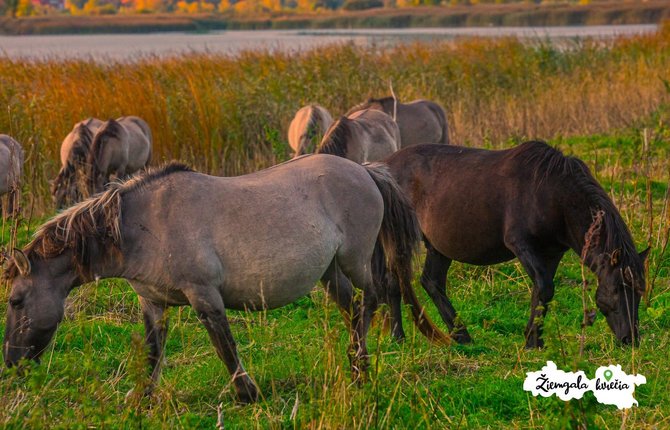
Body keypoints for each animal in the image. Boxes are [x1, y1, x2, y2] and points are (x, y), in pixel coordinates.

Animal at [3, 157, 452, 404]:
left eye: (15, 301)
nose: (11, 361)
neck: (143, 225)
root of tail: (364, 169)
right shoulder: (154, 303)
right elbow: (152, 352)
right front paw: (142, 397)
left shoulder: (205, 297)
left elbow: (225, 347)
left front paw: (246, 393)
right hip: (330, 272)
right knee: (353, 308)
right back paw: (357, 364)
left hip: (355, 259)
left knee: (373, 297)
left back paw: (359, 364)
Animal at [384, 143, 652, 348]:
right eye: (617, 288)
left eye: (639, 292)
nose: (630, 339)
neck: (553, 194)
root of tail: (382, 169)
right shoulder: (521, 245)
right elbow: (544, 287)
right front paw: (532, 341)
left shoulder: (552, 253)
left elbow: (542, 293)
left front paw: (535, 339)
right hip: (399, 240)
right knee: (394, 282)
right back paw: (398, 337)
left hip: (439, 246)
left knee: (432, 282)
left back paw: (461, 335)